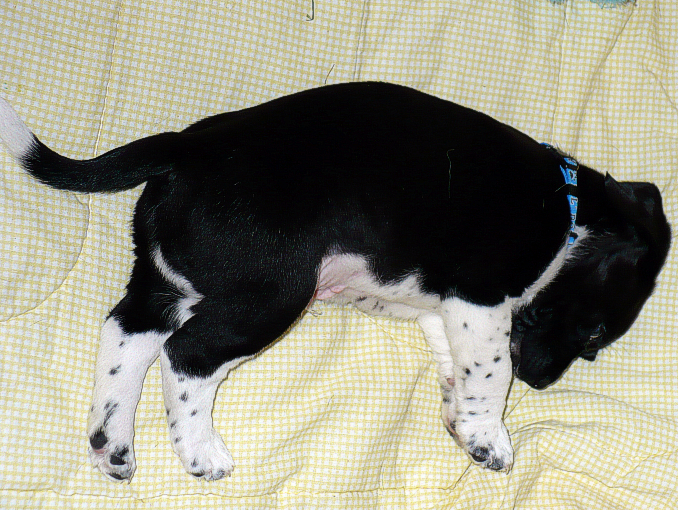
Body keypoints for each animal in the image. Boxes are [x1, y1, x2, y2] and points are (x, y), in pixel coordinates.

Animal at [0, 82, 670, 481]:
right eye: (594, 337)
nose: (541, 383)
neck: (569, 211)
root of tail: (186, 146)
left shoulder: (442, 309)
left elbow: (456, 366)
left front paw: (460, 418)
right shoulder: (480, 300)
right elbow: (489, 372)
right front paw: (489, 435)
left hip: (168, 279)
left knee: (126, 334)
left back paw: (112, 441)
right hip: (271, 292)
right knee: (186, 354)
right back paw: (200, 451)